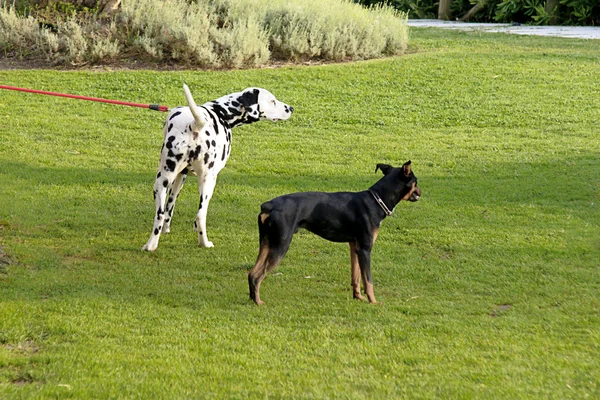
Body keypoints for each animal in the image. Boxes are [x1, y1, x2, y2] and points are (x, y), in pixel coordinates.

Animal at [143, 85, 292, 252]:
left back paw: (151, 245)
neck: (221, 113)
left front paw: (165, 229)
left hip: (161, 181)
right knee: (201, 215)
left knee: (160, 214)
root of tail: (195, 124)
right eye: (272, 101)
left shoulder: (180, 175)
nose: (291, 108)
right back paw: (205, 243)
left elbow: (169, 206)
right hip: (208, 182)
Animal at [248, 161, 422, 304]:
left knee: (251, 273)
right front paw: (373, 302)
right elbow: (368, 280)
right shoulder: (365, 249)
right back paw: (258, 302)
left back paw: (252, 299)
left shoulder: (354, 247)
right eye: (416, 181)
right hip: (281, 246)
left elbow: (356, 276)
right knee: (258, 276)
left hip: (266, 243)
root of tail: (269, 206)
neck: (376, 201)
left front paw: (358, 297)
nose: (421, 192)